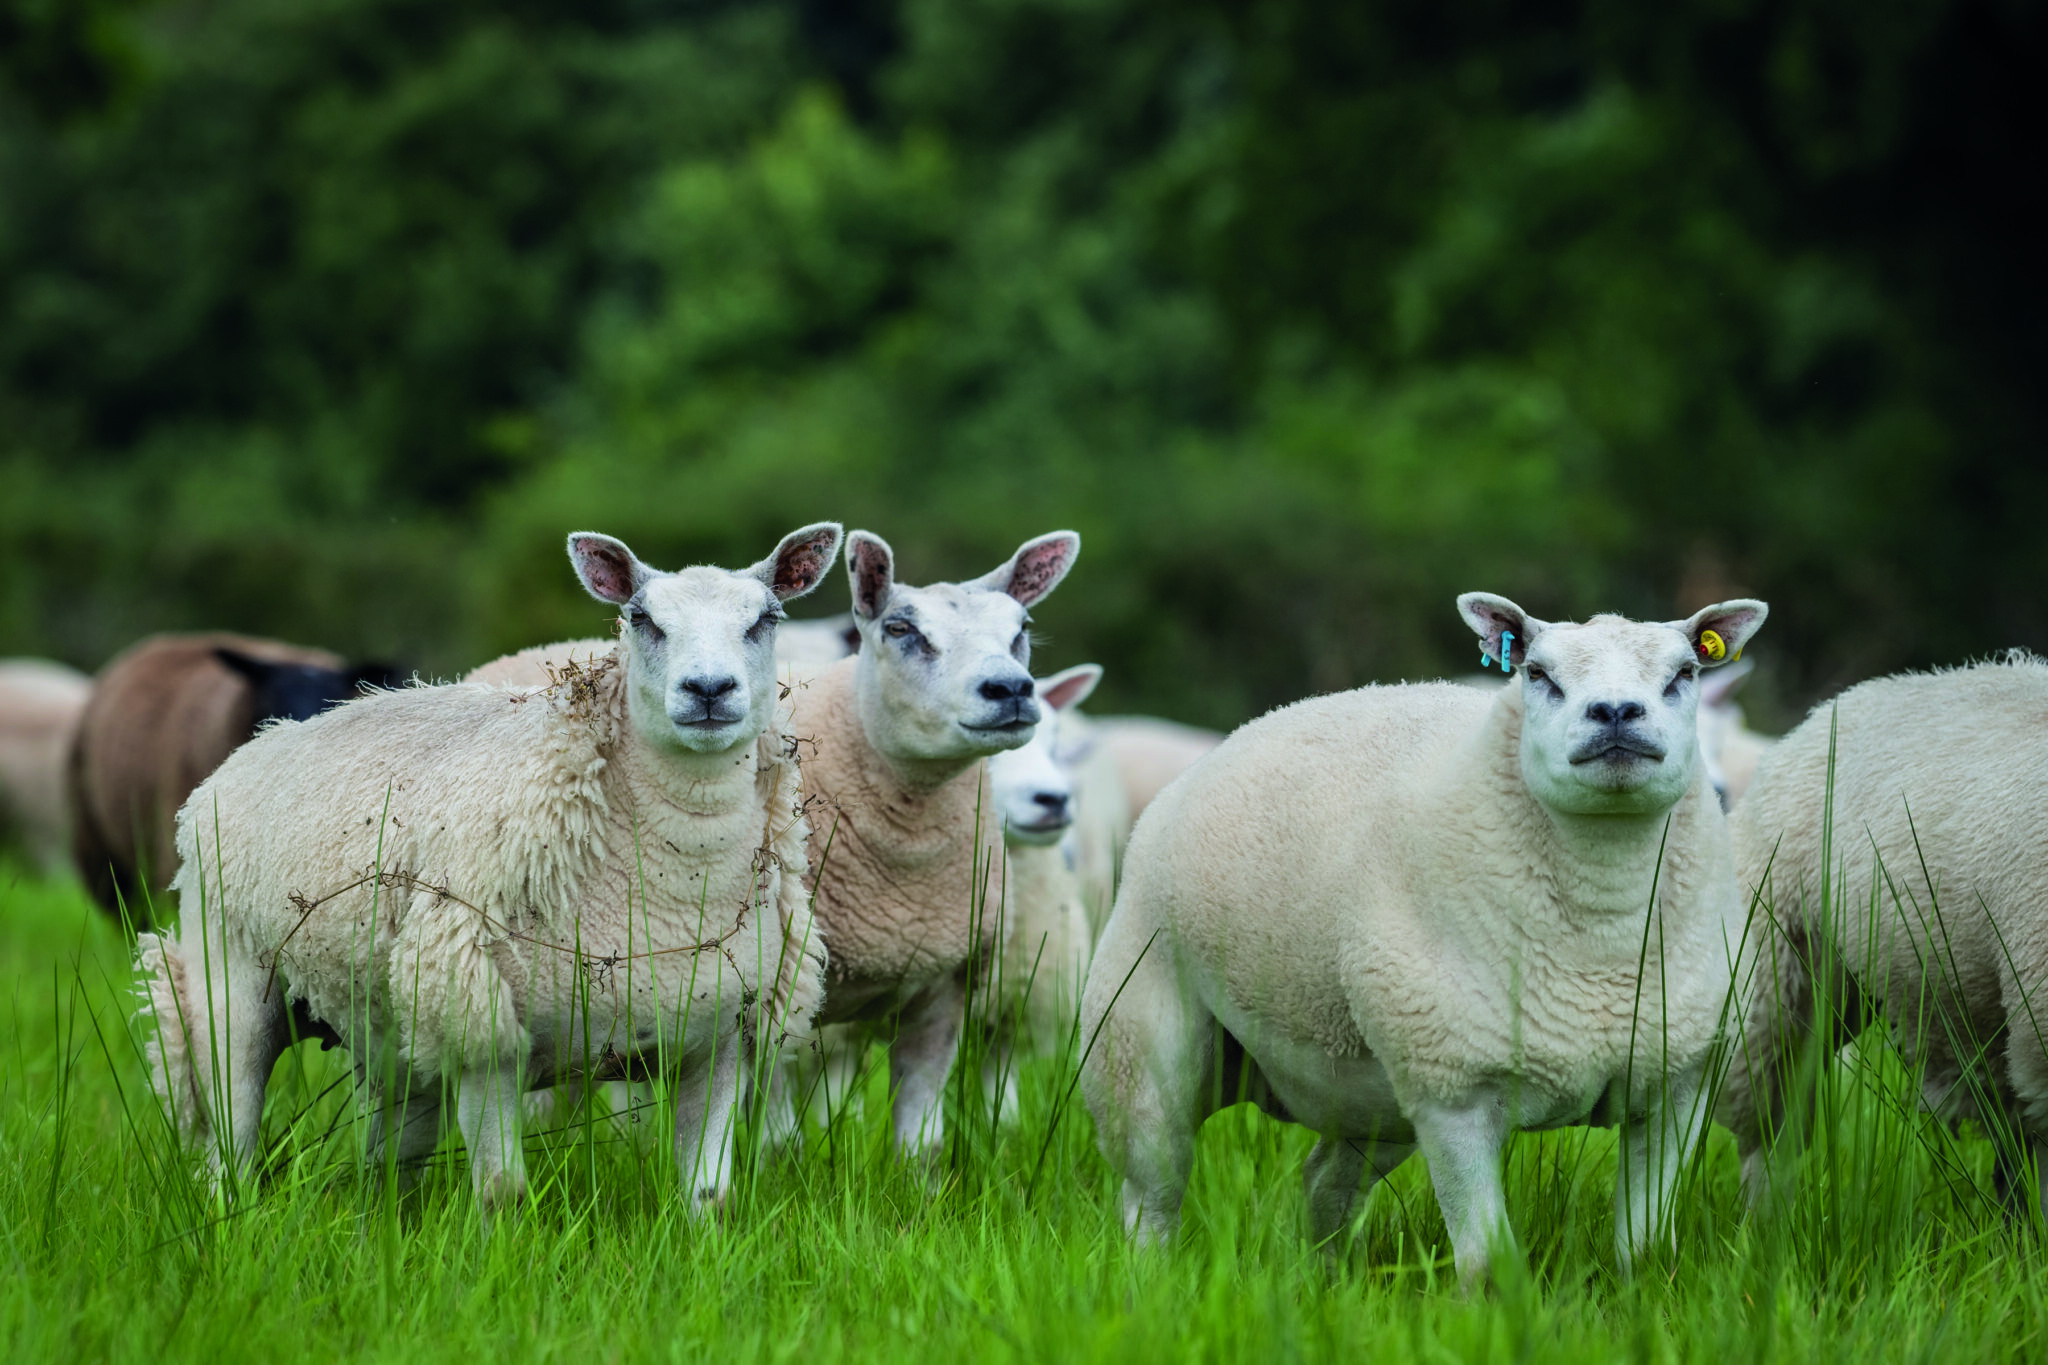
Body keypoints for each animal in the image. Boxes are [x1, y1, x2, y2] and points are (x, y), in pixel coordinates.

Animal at [133, 524, 843, 1212]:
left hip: (396, 1021)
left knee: (391, 1155)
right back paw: (228, 1216)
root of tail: (260, 742)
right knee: (231, 1138)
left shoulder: (724, 1039)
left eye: (766, 618)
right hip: (230, 985)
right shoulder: (485, 1034)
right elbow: (503, 1194)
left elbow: (712, 1197)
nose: (709, 691)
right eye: (640, 618)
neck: (674, 879)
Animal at [1079, 593, 1768, 1289]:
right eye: (1537, 674)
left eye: (1684, 672)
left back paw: (1324, 1283)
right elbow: (1488, 1264)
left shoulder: (1677, 1086)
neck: (1600, 941)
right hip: (1139, 1039)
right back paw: (1147, 1284)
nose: (1617, 713)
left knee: (1324, 1182)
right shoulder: (1455, 1096)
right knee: (1152, 1194)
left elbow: (1644, 1252)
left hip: (1372, 1091)